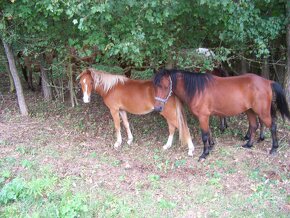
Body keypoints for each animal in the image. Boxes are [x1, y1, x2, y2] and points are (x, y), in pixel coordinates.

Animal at [153, 69, 288, 161]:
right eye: (155, 86)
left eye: (165, 86)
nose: (158, 108)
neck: (197, 90)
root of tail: (268, 82)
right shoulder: (206, 117)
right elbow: (208, 132)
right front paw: (210, 148)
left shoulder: (203, 116)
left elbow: (204, 135)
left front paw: (204, 154)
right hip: (250, 110)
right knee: (254, 125)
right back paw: (249, 145)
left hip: (262, 112)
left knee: (273, 126)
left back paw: (274, 148)